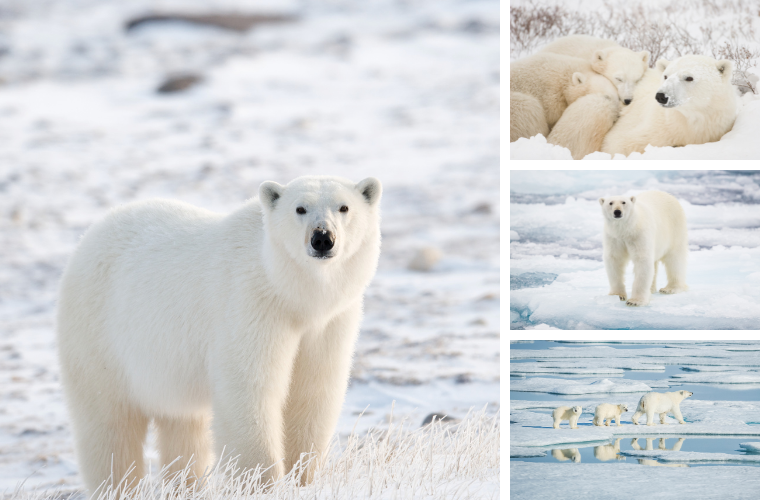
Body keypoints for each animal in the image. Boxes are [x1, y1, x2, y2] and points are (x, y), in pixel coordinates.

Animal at [56, 175, 383, 493]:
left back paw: (187, 487)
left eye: (344, 207)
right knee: (110, 427)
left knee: (183, 427)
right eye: (300, 208)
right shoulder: (250, 306)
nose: (323, 238)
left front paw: (303, 478)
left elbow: (312, 392)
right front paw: (263, 484)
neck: (291, 294)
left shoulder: (329, 323)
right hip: (99, 338)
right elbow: (250, 391)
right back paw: (118, 486)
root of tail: (91, 234)